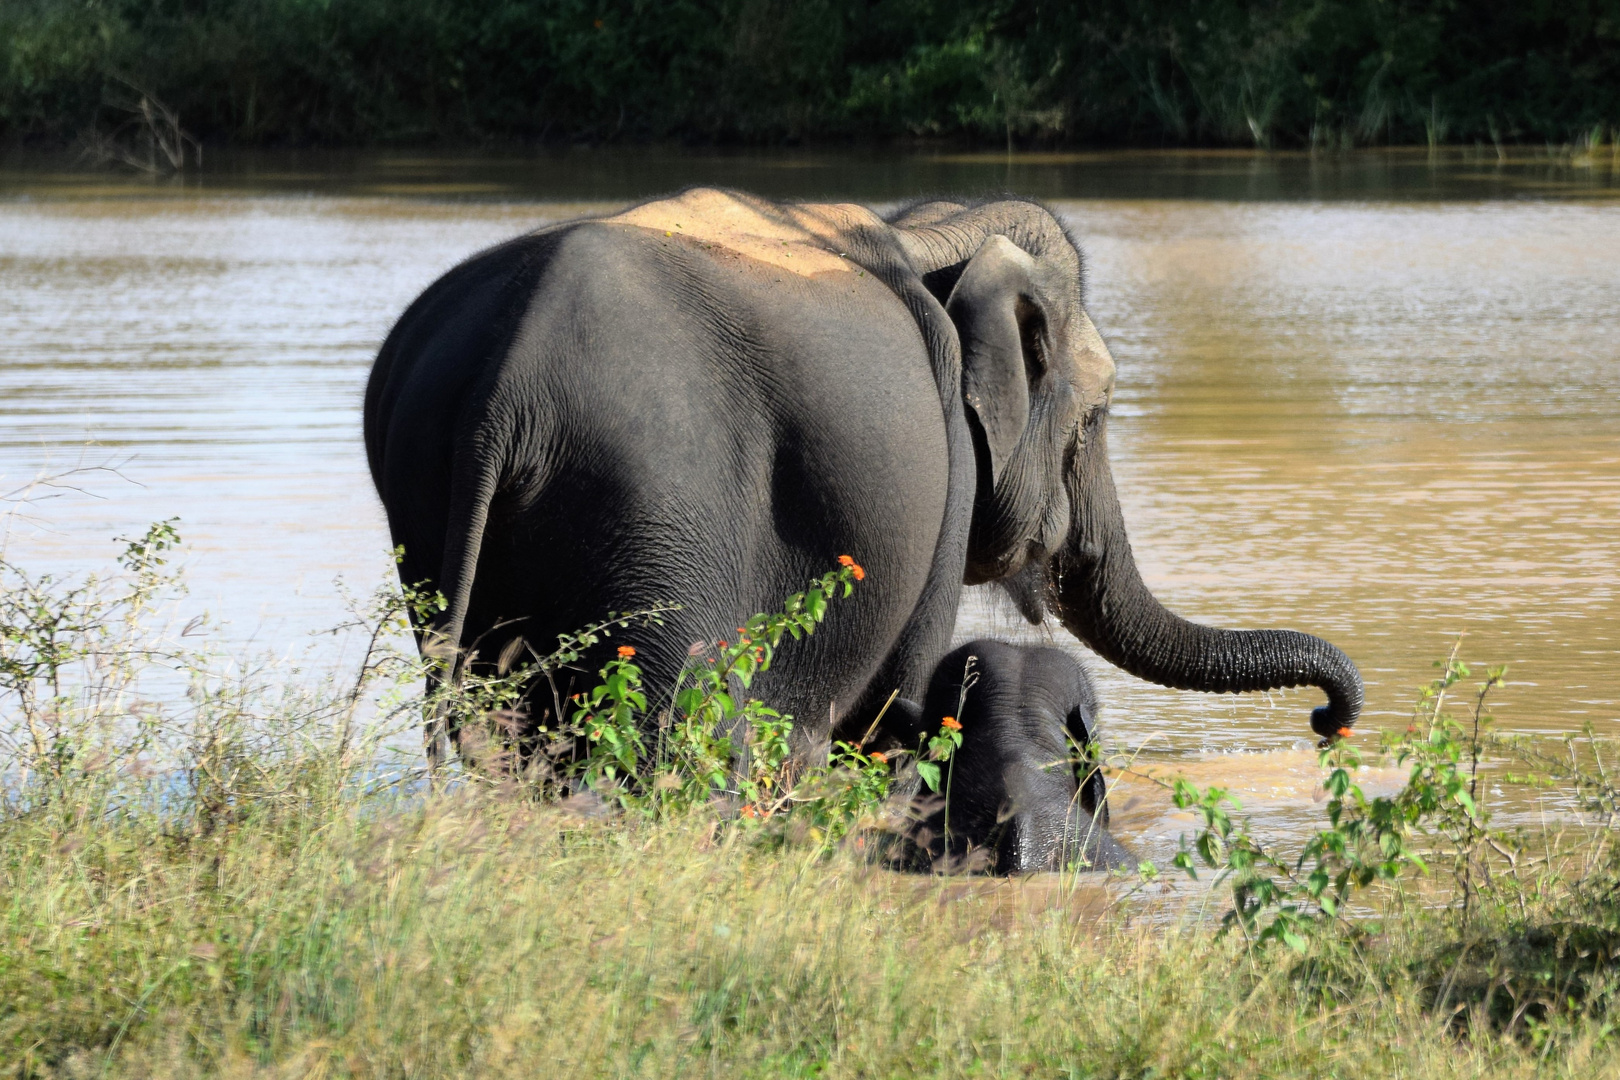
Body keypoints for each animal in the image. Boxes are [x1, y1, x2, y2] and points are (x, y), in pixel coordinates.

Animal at [364, 187, 1354, 761]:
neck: (925, 229)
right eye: (1097, 418)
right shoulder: (944, 487)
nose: (1328, 724)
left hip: (438, 515)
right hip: (649, 509)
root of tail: (505, 386)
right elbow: (897, 707)